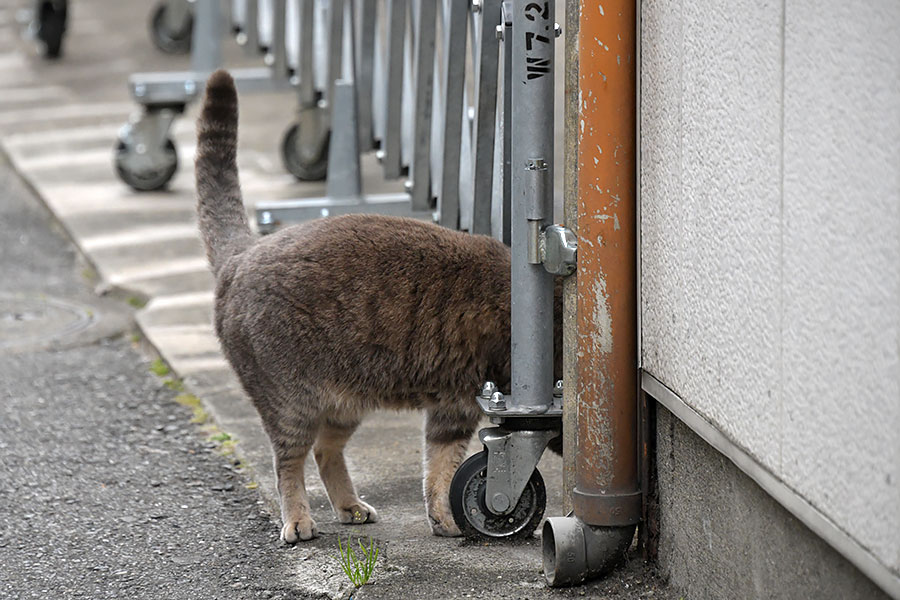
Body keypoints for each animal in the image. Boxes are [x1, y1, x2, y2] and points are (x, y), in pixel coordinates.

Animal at [193, 70, 552, 544]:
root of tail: (243, 253)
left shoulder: (453, 408)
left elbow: (439, 470)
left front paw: (446, 518)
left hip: (345, 402)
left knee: (325, 452)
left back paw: (350, 506)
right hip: (292, 402)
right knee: (289, 461)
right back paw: (298, 520)